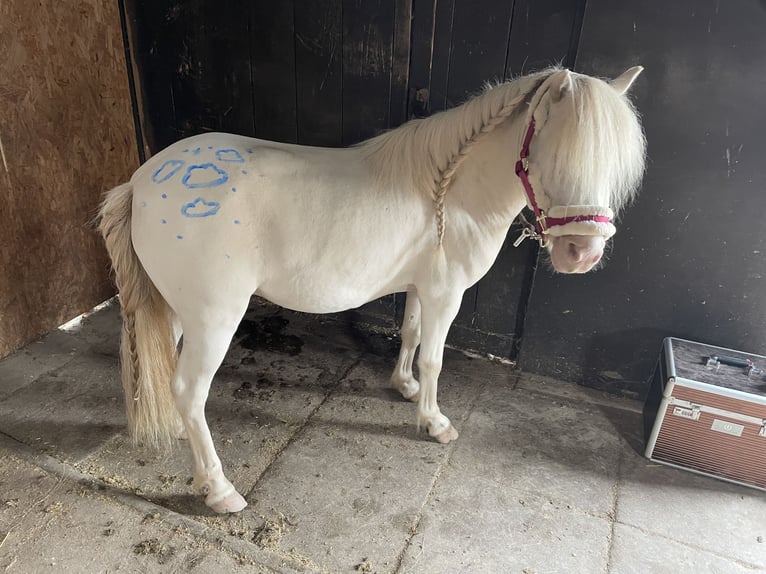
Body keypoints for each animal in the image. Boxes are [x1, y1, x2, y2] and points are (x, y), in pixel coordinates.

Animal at [96, 66, 648, 512]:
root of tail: (140, 183)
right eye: (557, 155)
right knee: (190, 390)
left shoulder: (421, 287)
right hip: (214, 318)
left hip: (176, 310)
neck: (450, 192)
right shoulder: (446, 294)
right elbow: (435, 358)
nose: (582, 254)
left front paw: (404, 387)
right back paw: (218, 489)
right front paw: (434, 422)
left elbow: (410, 335)